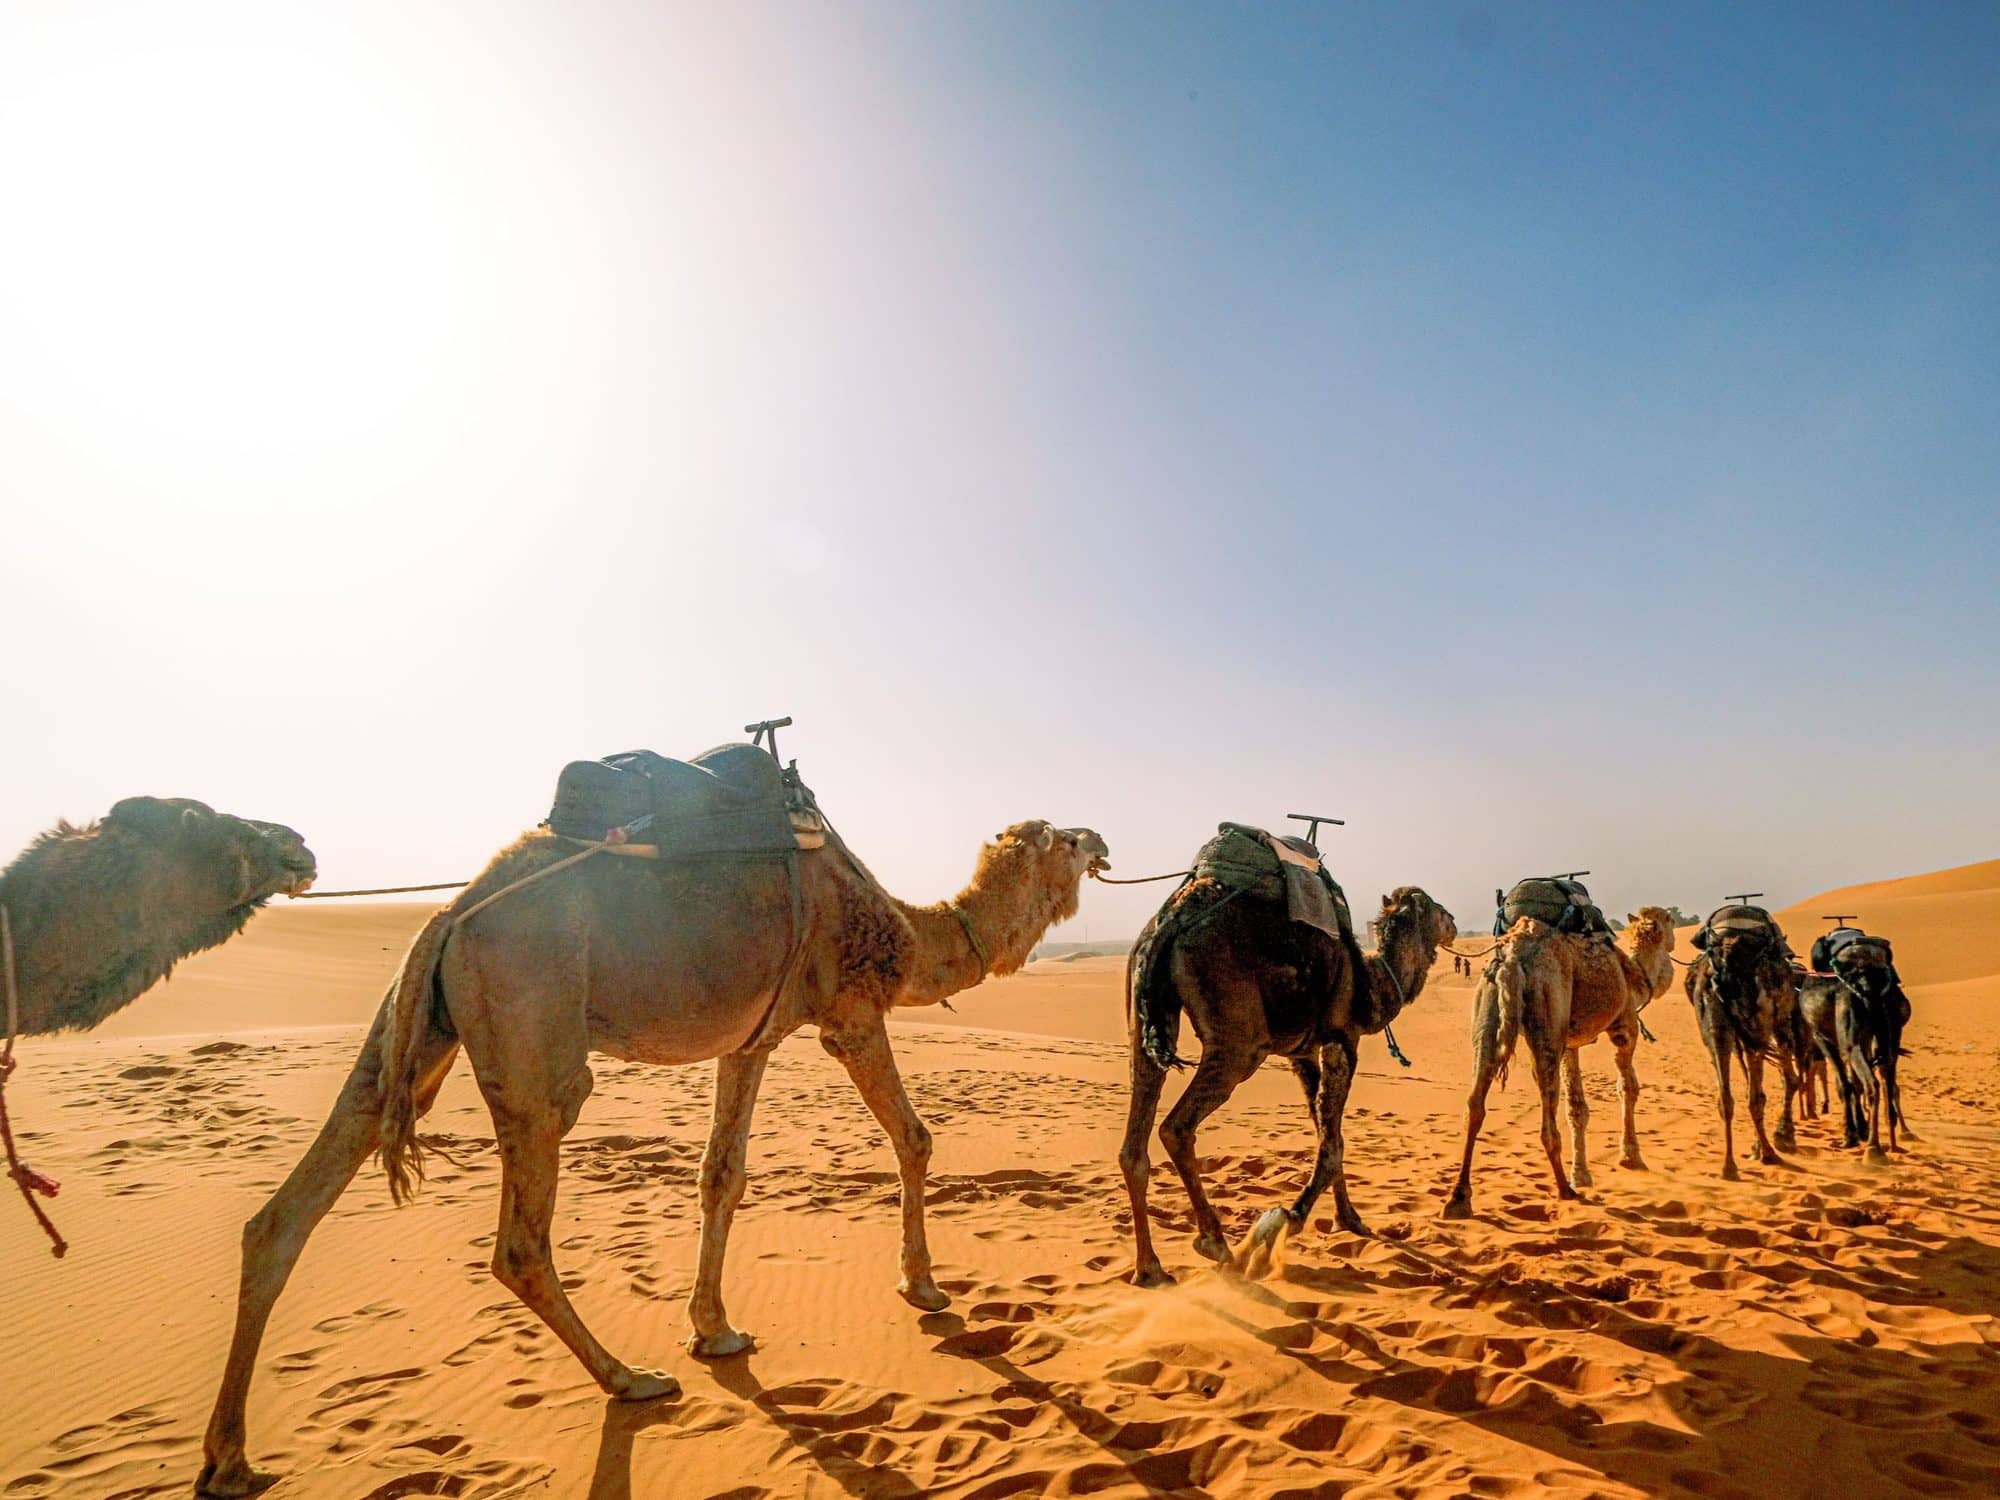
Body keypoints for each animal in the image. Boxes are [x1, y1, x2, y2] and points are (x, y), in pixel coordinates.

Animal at [197, 815, 1108, 1498]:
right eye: (1063, 837)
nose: (1101, 842)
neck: (904, 929)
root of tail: (451, 915)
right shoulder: (847, 1011)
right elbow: (916, 1139)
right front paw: (923, 1285)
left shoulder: (752, 1037)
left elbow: (722, 1175)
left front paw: (716, 1329)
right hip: (534, 1033)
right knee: (520, 1239)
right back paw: (628, 1379)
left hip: (413, 1031)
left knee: (287, 1210)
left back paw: (229, 1458)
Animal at [1119, 884, 1456, 1287]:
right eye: (1434, 907)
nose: (1453, 922)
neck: (1371, 982)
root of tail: (1169, 924)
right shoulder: (1343, 1039)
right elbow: (1332, 1144)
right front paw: (1285, 1220)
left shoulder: (1303, 1052)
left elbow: (1328, 1132)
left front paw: (1350, 1219)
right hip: (1239, 1042)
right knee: (1176, 1127)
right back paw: (1215, 1242)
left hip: (1145, 1020)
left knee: (1134, 1143)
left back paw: (1149, 1267)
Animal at [1444, 906, 1676, 1219]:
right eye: (1670, 922)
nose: (1674, 943)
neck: (1635, 973)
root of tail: (1513, 957)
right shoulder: (1625, 1025)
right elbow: (1627, 1087)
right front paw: (1630, 1156)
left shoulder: (1571, 1044)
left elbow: (1577, 1106)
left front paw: (1583, 1174)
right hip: (1548, 1007)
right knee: (1546, 1110)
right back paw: (1565, 1190)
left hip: (1488, 1003)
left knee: (1475, 1102)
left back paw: (1459, 1197)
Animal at [1684, 911, 1804, 1180]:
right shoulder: (1778, 1025)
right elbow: (1789, 1080)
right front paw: (1784, 1136)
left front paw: (1762, 1144)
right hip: (1759, 1027)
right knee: (1757, 1096)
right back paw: (1769, 1153)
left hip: (1716, 1029)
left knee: (1726, 1097)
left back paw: (1729, 1166)